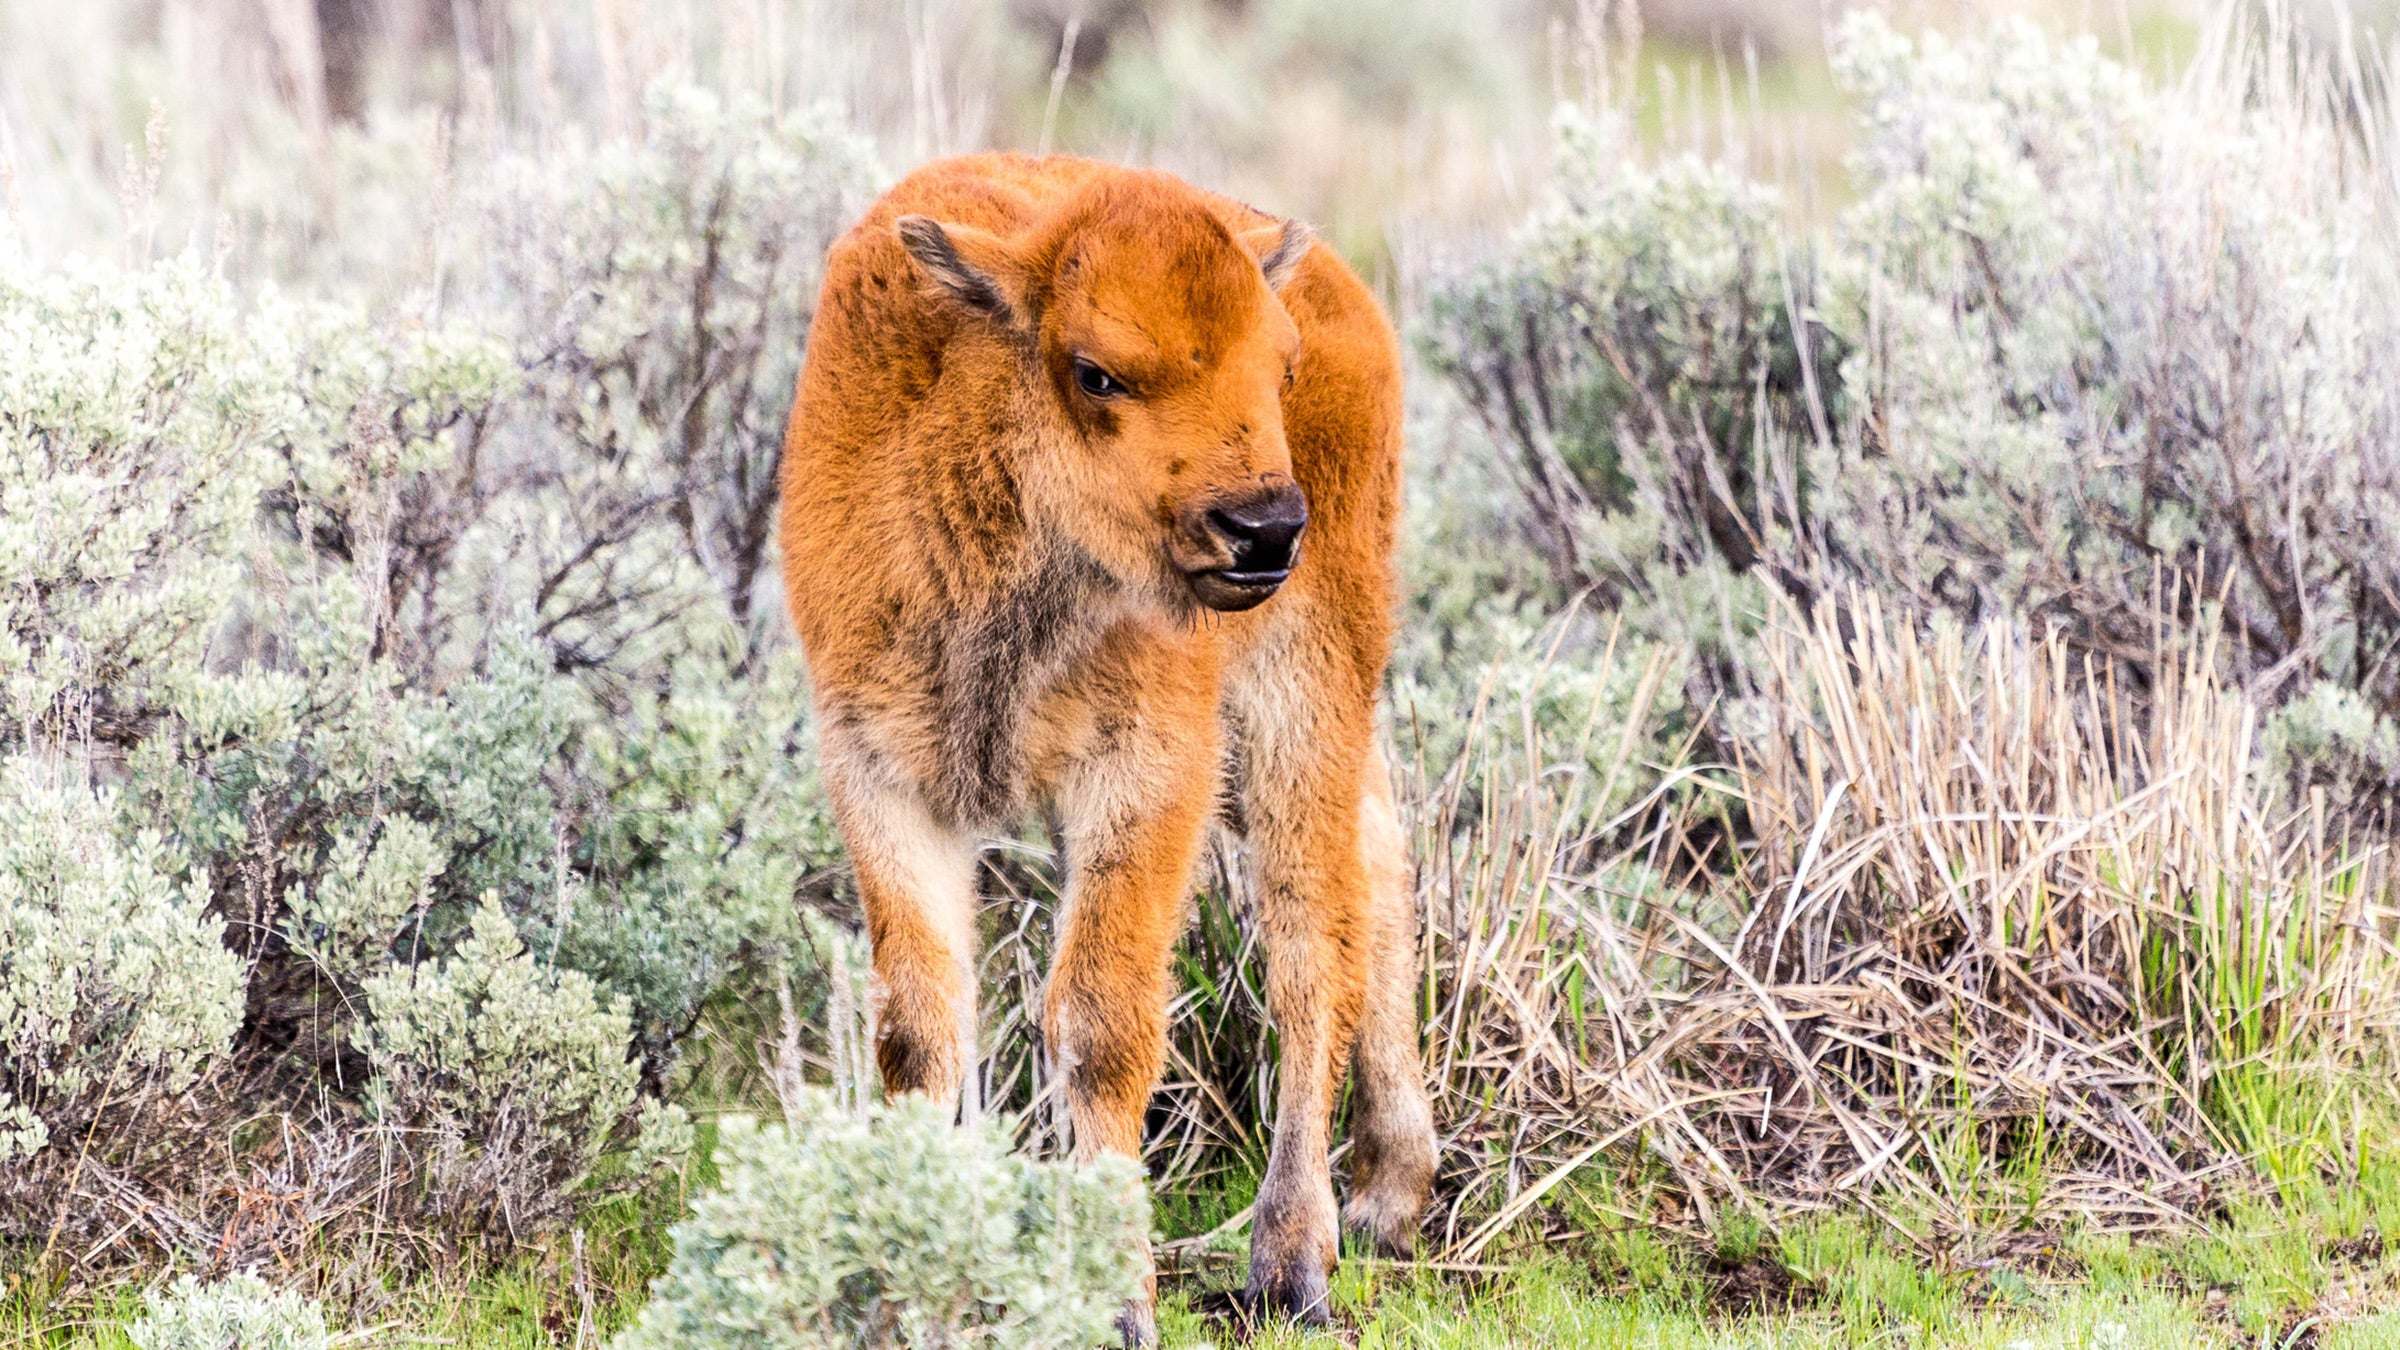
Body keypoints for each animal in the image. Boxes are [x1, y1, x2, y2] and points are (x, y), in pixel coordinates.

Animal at [777, 152, 1435, 1342]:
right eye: (1096, 374)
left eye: (1279, 366)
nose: (1263, 530)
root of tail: (1341, 291)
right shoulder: (881, 775)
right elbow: (922, 1030)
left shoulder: (1149, 774)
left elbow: (1100, 1023)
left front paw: (1116, 1301)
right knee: (1377, 863)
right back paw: (1390, 1195)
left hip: (1305, 683)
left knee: (1312, 943)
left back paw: (1294, 1260)